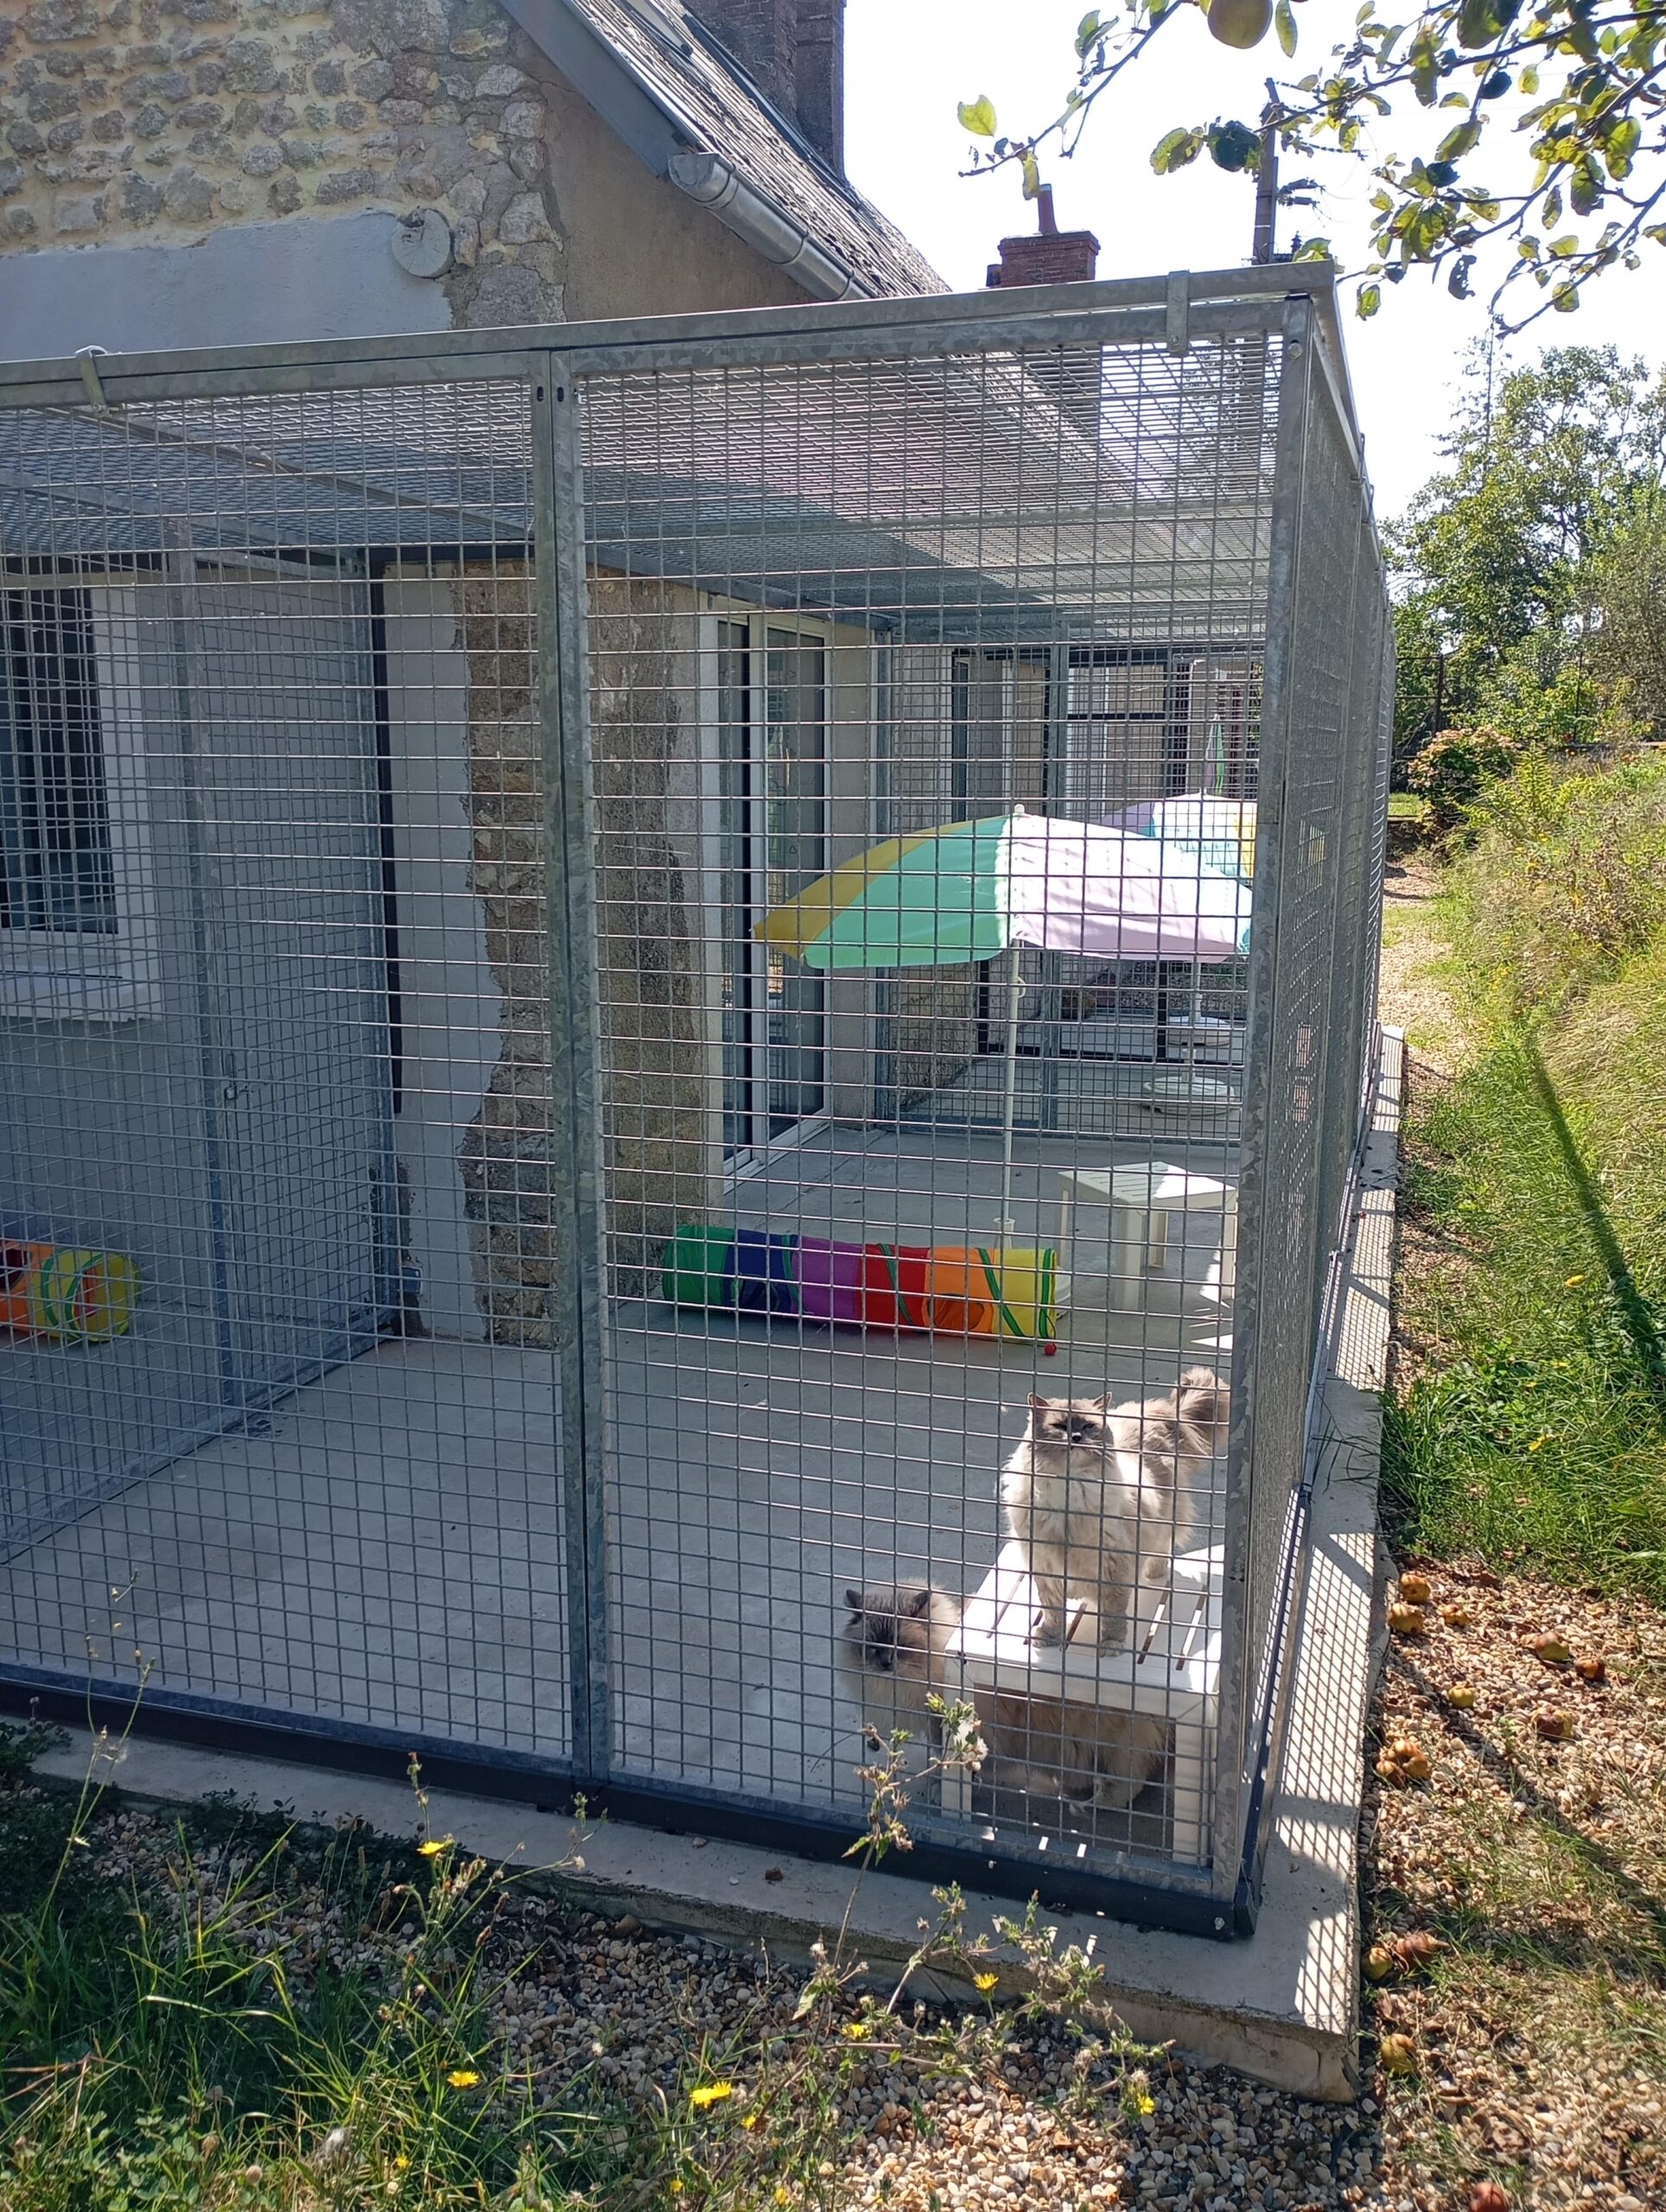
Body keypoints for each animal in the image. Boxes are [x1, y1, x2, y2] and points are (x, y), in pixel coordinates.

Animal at [831, 1592, 1167, 1814]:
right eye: (873, 1646)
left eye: (900, 1645)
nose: (885, 1663)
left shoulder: (943, 1728)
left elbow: (943, 1764)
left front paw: (943, 1790)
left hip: (1110, 1746)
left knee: (1127, 1783)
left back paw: (1086, 1806)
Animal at [995, 1371, 1230, 1654]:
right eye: (1061, 1426)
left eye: (1088, 1427)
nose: (1076, 1438)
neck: (1069, 1490)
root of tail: (1152, 1411)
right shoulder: (1046, 1569)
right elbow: (1052, 1612)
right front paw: (1048, 1638)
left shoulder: (1113, 1569)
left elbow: (1112, 1615)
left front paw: (1111, 1646)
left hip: (1165, 1522)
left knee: (1163, 1548)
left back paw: (1153, 1574)